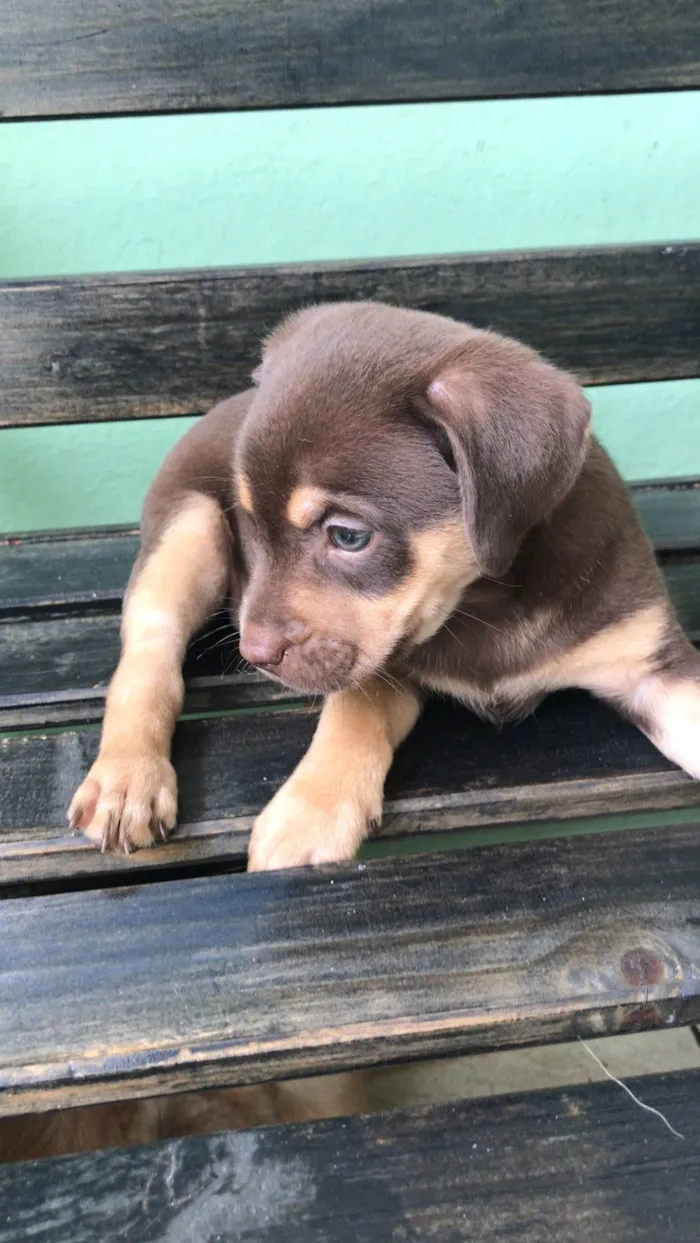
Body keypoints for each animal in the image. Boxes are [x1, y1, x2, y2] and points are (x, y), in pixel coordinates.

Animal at [67, 302, 700, 870]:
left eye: (349, 536)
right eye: (248, 523)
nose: (256, 655)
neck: (485, 600)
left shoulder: (651, 663)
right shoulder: (377, 666)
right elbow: (353, 713)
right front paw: (310, 813)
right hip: (190, 527)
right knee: (149, 655)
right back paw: (128, 779)